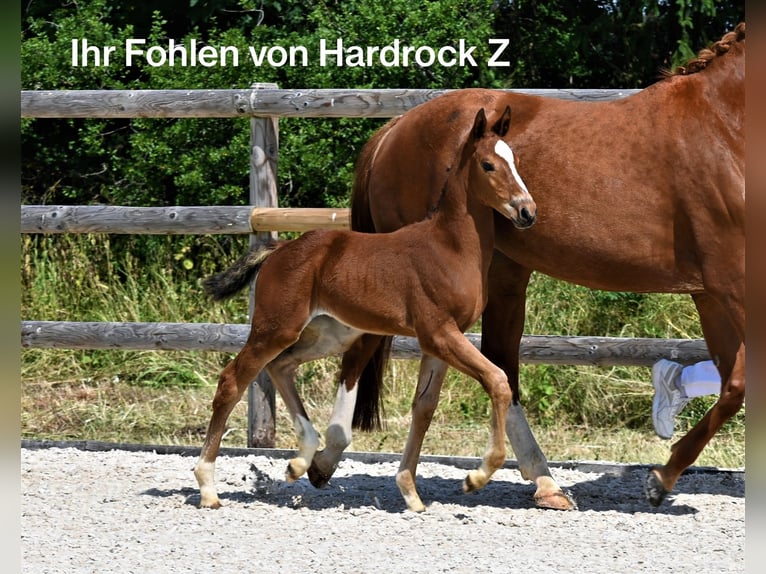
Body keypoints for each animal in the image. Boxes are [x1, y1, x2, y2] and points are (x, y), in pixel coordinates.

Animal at [193, 106, 538, 510]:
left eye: (515, 162)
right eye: (488, 165)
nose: (527, 211)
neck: (449, 247)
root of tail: (279, 250)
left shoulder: (440, 341)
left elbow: (423, 408)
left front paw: (410, 492)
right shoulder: (438, 332)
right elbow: (498, 380)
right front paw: (476, 477)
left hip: (328, 335)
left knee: (281, 366)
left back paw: (300, 461)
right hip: (275, 327)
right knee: (233, 380)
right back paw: (208, 487)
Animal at [313, 22, 745, 509]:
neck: (724, 125)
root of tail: (392, 130)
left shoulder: (713, 292)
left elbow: (733, 384)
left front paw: (663, 474)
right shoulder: (730, 284)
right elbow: (739, 384)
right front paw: (659, 479)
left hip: (501, 273)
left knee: (499, 362)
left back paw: (544, 482)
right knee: (367, 349)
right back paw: (325, 459)